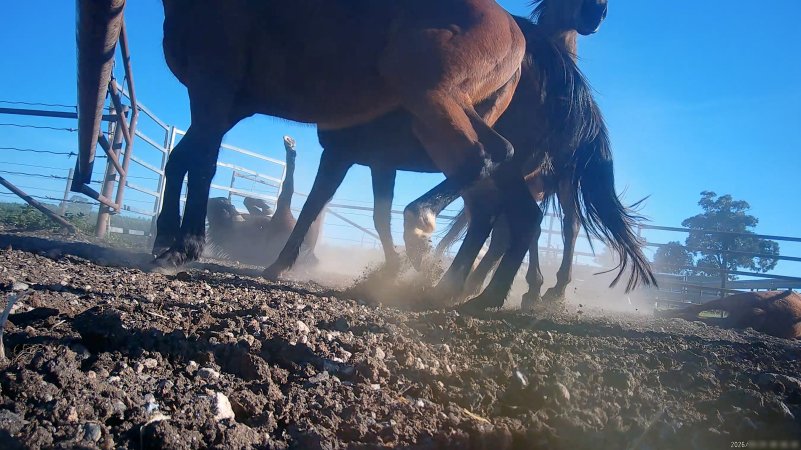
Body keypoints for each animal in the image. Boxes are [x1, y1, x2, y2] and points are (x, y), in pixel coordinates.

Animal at [205, 137, 322, 267]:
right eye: (221, 203)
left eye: (219, 200)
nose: (227, 202)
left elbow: (248, 201)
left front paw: (264, 206)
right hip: (288, 216)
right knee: (287, 190)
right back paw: (289, 147)